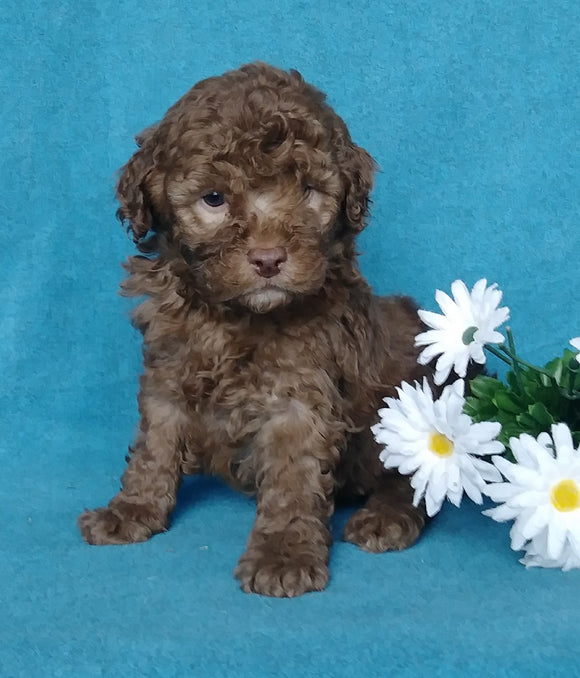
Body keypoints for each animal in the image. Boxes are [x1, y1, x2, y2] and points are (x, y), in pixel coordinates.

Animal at [79, 62, 428, 596]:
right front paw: (132, 509)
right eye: (214, 199)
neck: (235, 316)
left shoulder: (299, 398)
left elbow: (291, 477)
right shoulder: (167, 370)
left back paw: (385, 517)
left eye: (306, 191)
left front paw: (282, 553)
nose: (268, 259)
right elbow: (154, 445)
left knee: (418, 478)